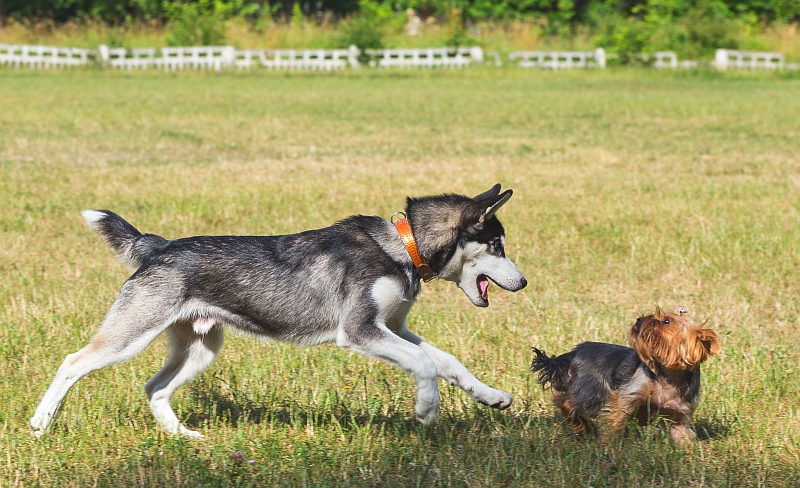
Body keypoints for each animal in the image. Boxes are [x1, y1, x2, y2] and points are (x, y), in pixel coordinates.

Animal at [31, 183, 528, 438]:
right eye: (498, 246)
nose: (524, 283)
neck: (402, 247)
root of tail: (160, 246)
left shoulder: (393, 328)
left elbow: (446, 361)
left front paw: (490, 396)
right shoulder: (360, 330)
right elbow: (425, 365)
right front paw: (427, 409)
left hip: (202, 347)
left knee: (154, 388)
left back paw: (183, 438)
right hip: (131, 334)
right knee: (72, 362)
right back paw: (41, 423)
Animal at [528, 306, 720, 444]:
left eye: (666, 321)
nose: (640, 319)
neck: (669, 377)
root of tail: (574, 352)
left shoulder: (680, 414)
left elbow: (683, 435)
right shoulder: (628, 394)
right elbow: (615, 419)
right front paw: (609, 447)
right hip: (592, 390)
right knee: (565, 401)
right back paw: (583, 426)